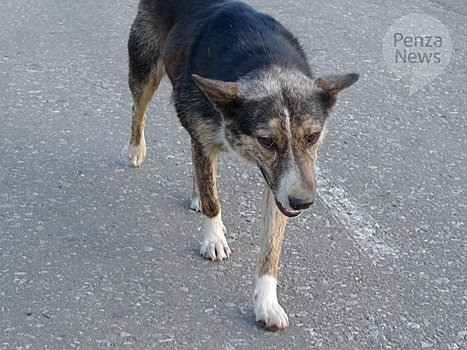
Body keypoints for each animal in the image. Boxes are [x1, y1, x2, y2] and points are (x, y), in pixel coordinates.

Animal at [126, 0, 360, 330]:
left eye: (313, 136)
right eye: (266, 141)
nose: (303, 202)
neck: (262, 63)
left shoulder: (280, 185)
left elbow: (271, 247)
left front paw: (267, 302)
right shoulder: (208, 139)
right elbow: (213, 200)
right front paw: (213, 238)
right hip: (145, 69)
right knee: (139, 109)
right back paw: (136, 149)